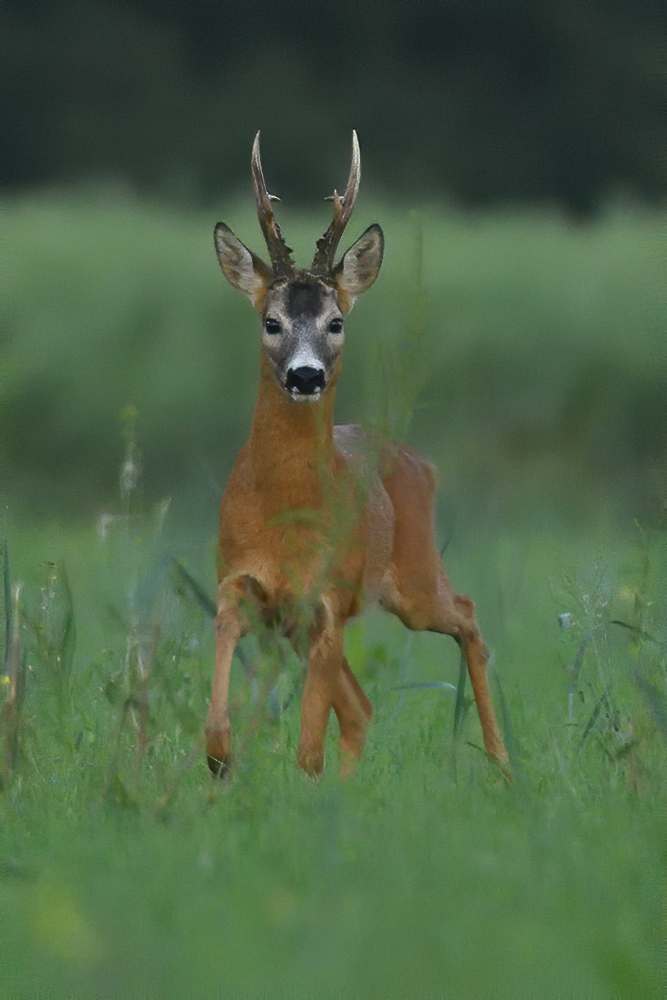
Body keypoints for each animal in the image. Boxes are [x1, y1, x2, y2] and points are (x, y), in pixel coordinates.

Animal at [206, 133, 508, 776]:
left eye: (336, 321)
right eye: (271, 321)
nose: (306, 375)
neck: (285, 517)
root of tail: (420, 462)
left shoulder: (327, 600)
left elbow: (307, 744)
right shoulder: (243, 583)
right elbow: (222, 720)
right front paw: (221, 763)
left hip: (414, 575)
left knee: (466, 614)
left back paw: (501, 763)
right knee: (362, 708)